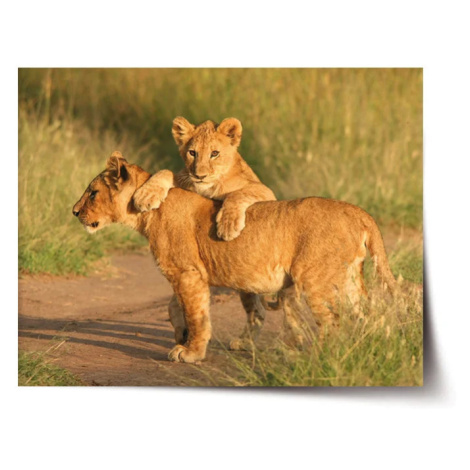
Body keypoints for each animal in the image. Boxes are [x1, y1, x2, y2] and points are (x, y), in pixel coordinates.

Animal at [73, 154, 397, 364]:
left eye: (93, 193)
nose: (74, 212)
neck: (145, 215)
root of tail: (358, 211)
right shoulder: (194, 273)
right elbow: (175, 307)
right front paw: (181, 335)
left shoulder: (187, 273)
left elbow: (196, 314)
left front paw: (190, 352)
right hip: (349, 278)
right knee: (369, 317)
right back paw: (368, 350)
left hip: (314, 278)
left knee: (332, 323)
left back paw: (317, 358)